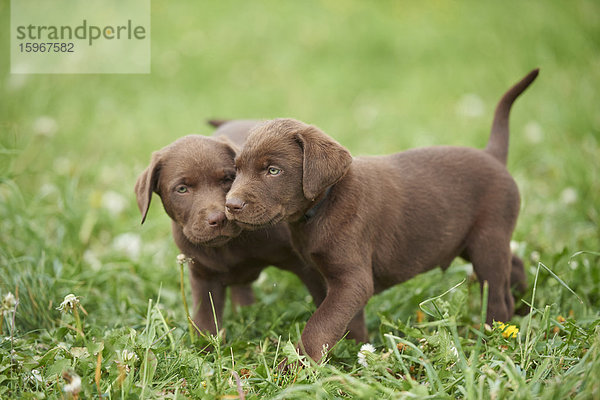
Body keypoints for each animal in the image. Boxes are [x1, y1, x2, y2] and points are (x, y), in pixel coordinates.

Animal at [135, 120, 328, 336]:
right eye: (182, 189)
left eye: (228, 179)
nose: (218, 219)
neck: (229, 245)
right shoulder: (203, 275)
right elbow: (205, 320)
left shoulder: (305, 264)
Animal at [226, 70, 540, 360]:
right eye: (237, 170)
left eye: (273, 170)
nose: (230, 204)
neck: (324, 205)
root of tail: (492, 155)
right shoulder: (324, 276)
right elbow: (345, 321)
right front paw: (355, 353)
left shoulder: (351, 279)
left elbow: (319, 324)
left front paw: (297, 366)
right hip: (469, 240)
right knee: (512, 263)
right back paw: (523, 300)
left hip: (487, 240)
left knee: (497, 295)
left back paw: (494, 338)